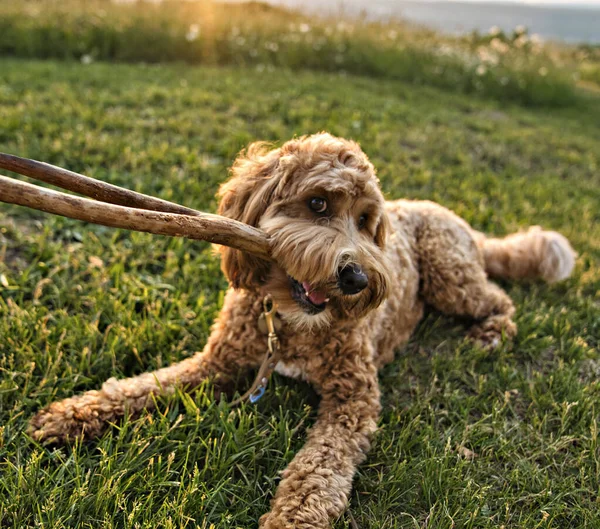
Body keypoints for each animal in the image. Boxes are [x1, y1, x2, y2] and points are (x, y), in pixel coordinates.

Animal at [29, 132, 576, 524]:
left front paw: (294, 516)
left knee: (498, 299)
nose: (356, 279)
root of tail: (452, 217)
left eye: (365, 220)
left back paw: (490, 334)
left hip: (449, 272)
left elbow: (320, 467)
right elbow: (145, 385)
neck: (291, 321)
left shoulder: (354, 399)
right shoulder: (216, 362)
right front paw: (73, 415)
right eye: (317, 204)